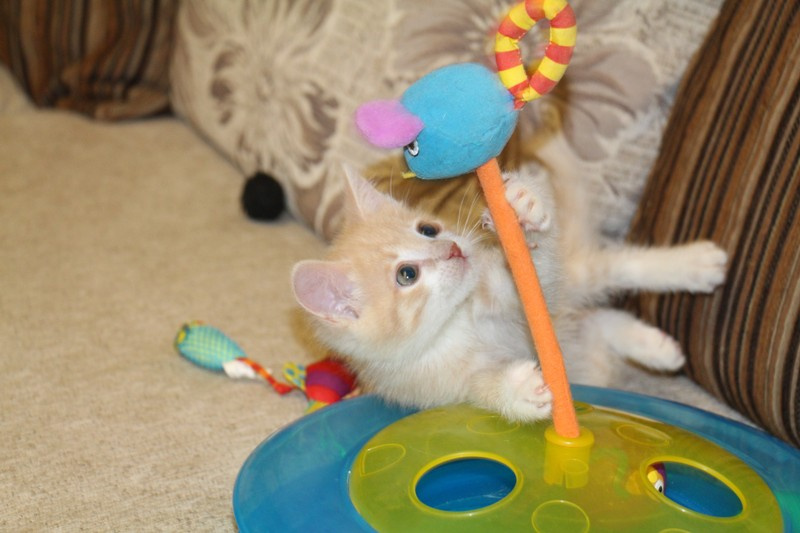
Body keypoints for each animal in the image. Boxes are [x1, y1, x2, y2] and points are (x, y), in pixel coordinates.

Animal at [291, 165, 727, 422]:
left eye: (428, 229)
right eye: (406, 275)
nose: (453, 249)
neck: (455, 324)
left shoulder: (511, 290)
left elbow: (529, 274)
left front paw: (523, 205)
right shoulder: (431, 385)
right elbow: (479, 388)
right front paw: (519, 390)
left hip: (577, 279)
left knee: (613, 269)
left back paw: (697, 265)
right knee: (599, 321)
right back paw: (657, 347)